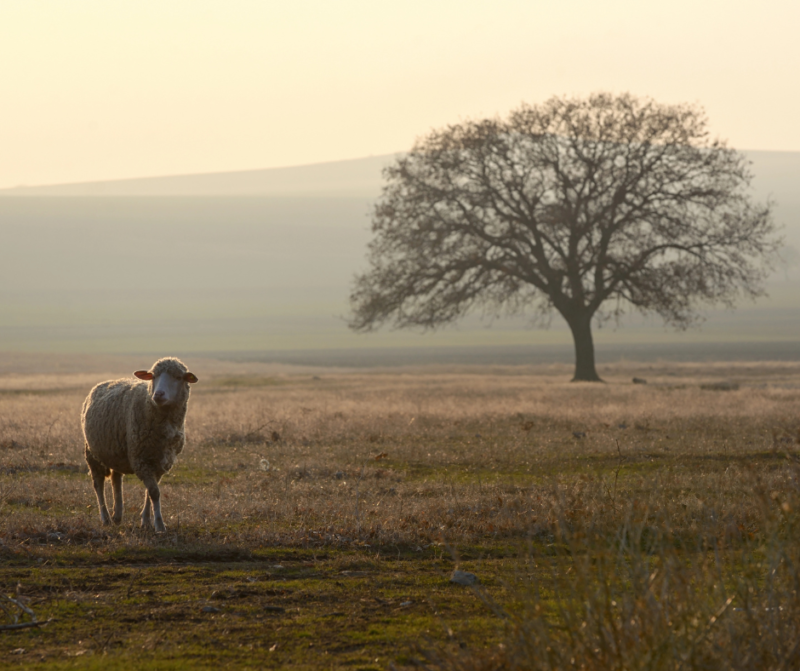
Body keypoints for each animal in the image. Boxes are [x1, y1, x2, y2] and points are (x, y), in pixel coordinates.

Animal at [81, 357, 198, 532]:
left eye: (178, 377)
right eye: (153, 376)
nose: (158, 394)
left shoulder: (159, 461)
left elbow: (150, 492)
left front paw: (146, 521)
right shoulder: (140, 459)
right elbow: (154, 492)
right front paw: (159, 524)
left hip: (117, 452)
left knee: (116, 479)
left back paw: (117, 515)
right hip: (92, 453)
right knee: (98, 484)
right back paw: (106, 517)